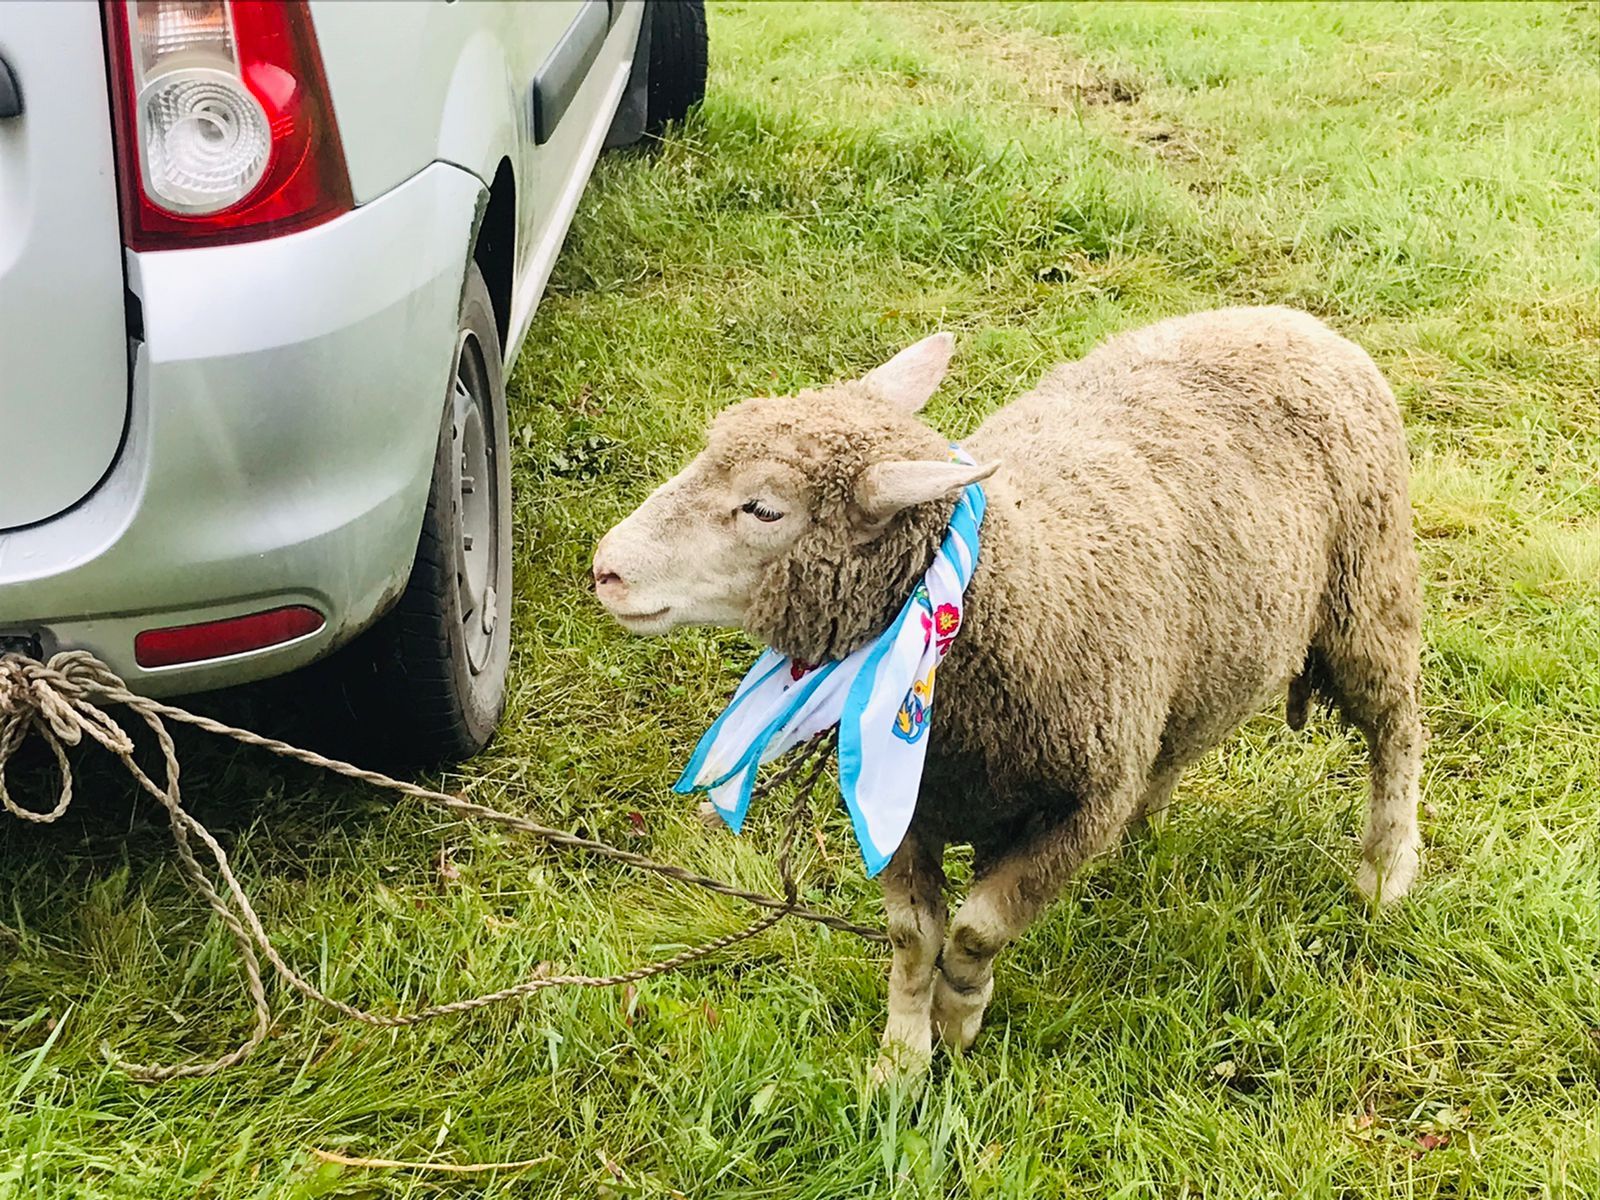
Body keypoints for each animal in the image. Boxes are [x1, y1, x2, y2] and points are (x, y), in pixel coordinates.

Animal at [592, 307, 1427, 1081]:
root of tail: (1293, 320)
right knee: (1179, 741)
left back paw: (1386, 870)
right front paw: (901, 1060)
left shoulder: (1075, 813)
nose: (606, 569)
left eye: (764, 508)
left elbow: (977, 930)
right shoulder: (902, 808)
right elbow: (913, 939)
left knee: (1396, 725)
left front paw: (959, 1019)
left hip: (1367, 590)